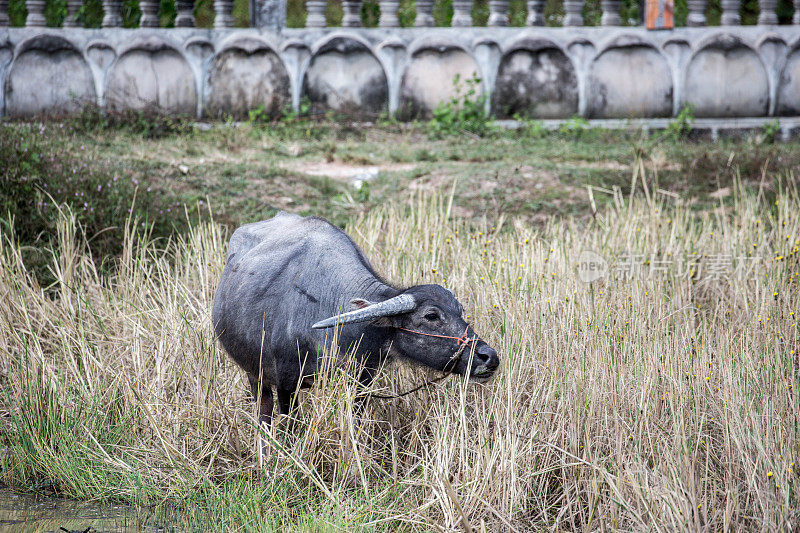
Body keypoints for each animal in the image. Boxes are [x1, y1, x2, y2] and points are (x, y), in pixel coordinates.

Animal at [212, 212, 500, 432]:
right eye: (431, 316)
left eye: (460, 310)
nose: (489, 357)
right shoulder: (285, 383)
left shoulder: (361, 382)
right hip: (254, 373)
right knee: (263, 414)